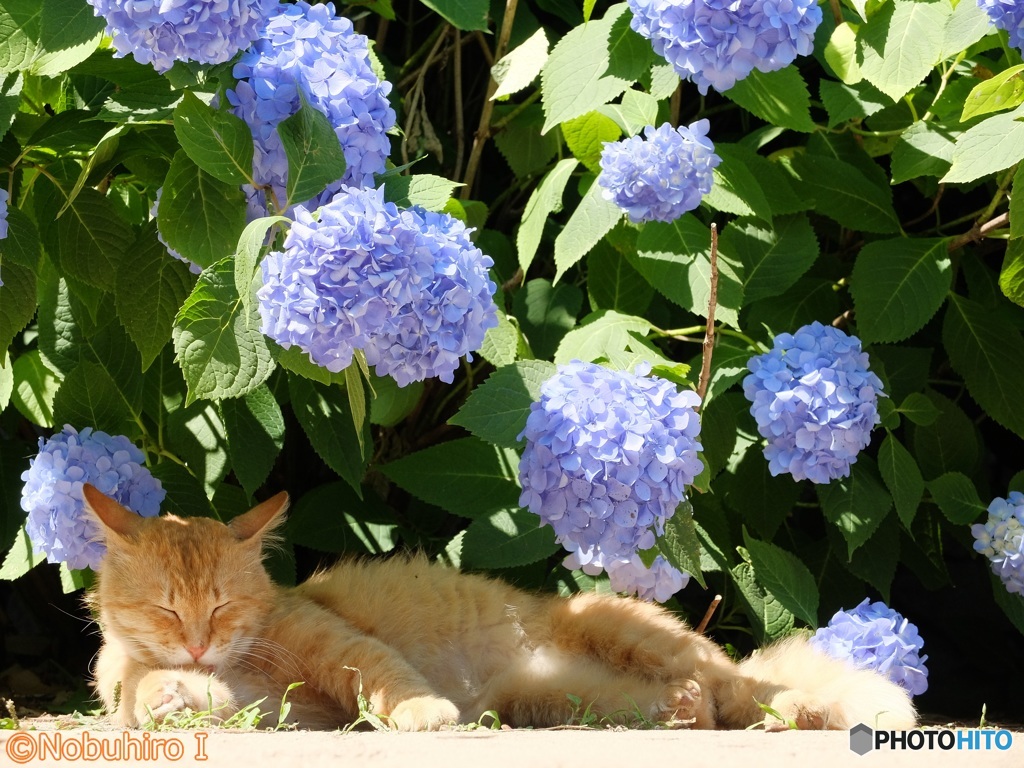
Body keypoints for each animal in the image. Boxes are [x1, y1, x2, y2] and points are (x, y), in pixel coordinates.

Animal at [77, 487, 913, 733]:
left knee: (747, 689)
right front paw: (167, 691)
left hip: (632, 634)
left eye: (220, 607)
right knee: (701, 705)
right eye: (166, 611)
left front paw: (424, 716)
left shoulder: (333, 651)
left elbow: (385, 680)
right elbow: (152, 698)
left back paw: (796, 713)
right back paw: (682, 710)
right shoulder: (289, 710)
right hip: (558, 700)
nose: (195, 645)